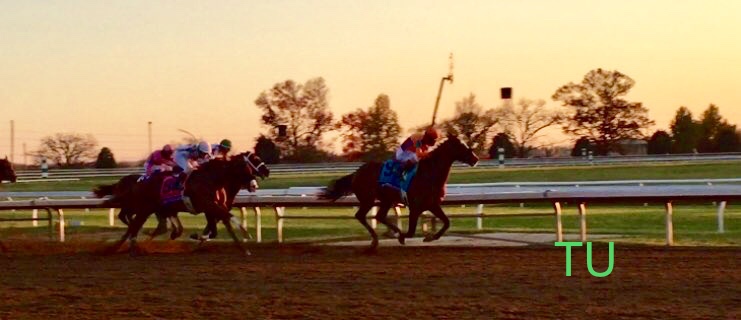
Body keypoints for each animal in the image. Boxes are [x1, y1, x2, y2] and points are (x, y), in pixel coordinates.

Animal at [318, 135, 480, 250]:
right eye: (461, 145)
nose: (476, 158)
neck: (429, 174)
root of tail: (356, 173)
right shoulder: (415, 207)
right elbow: (411, 231)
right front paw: (403, 237)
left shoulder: (432, 204)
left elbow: (447, 222)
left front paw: (430, 237)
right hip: (368, 199)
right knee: (361, 216)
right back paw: (377, 240)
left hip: (386, 200)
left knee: (379, 216)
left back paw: (388, 234)